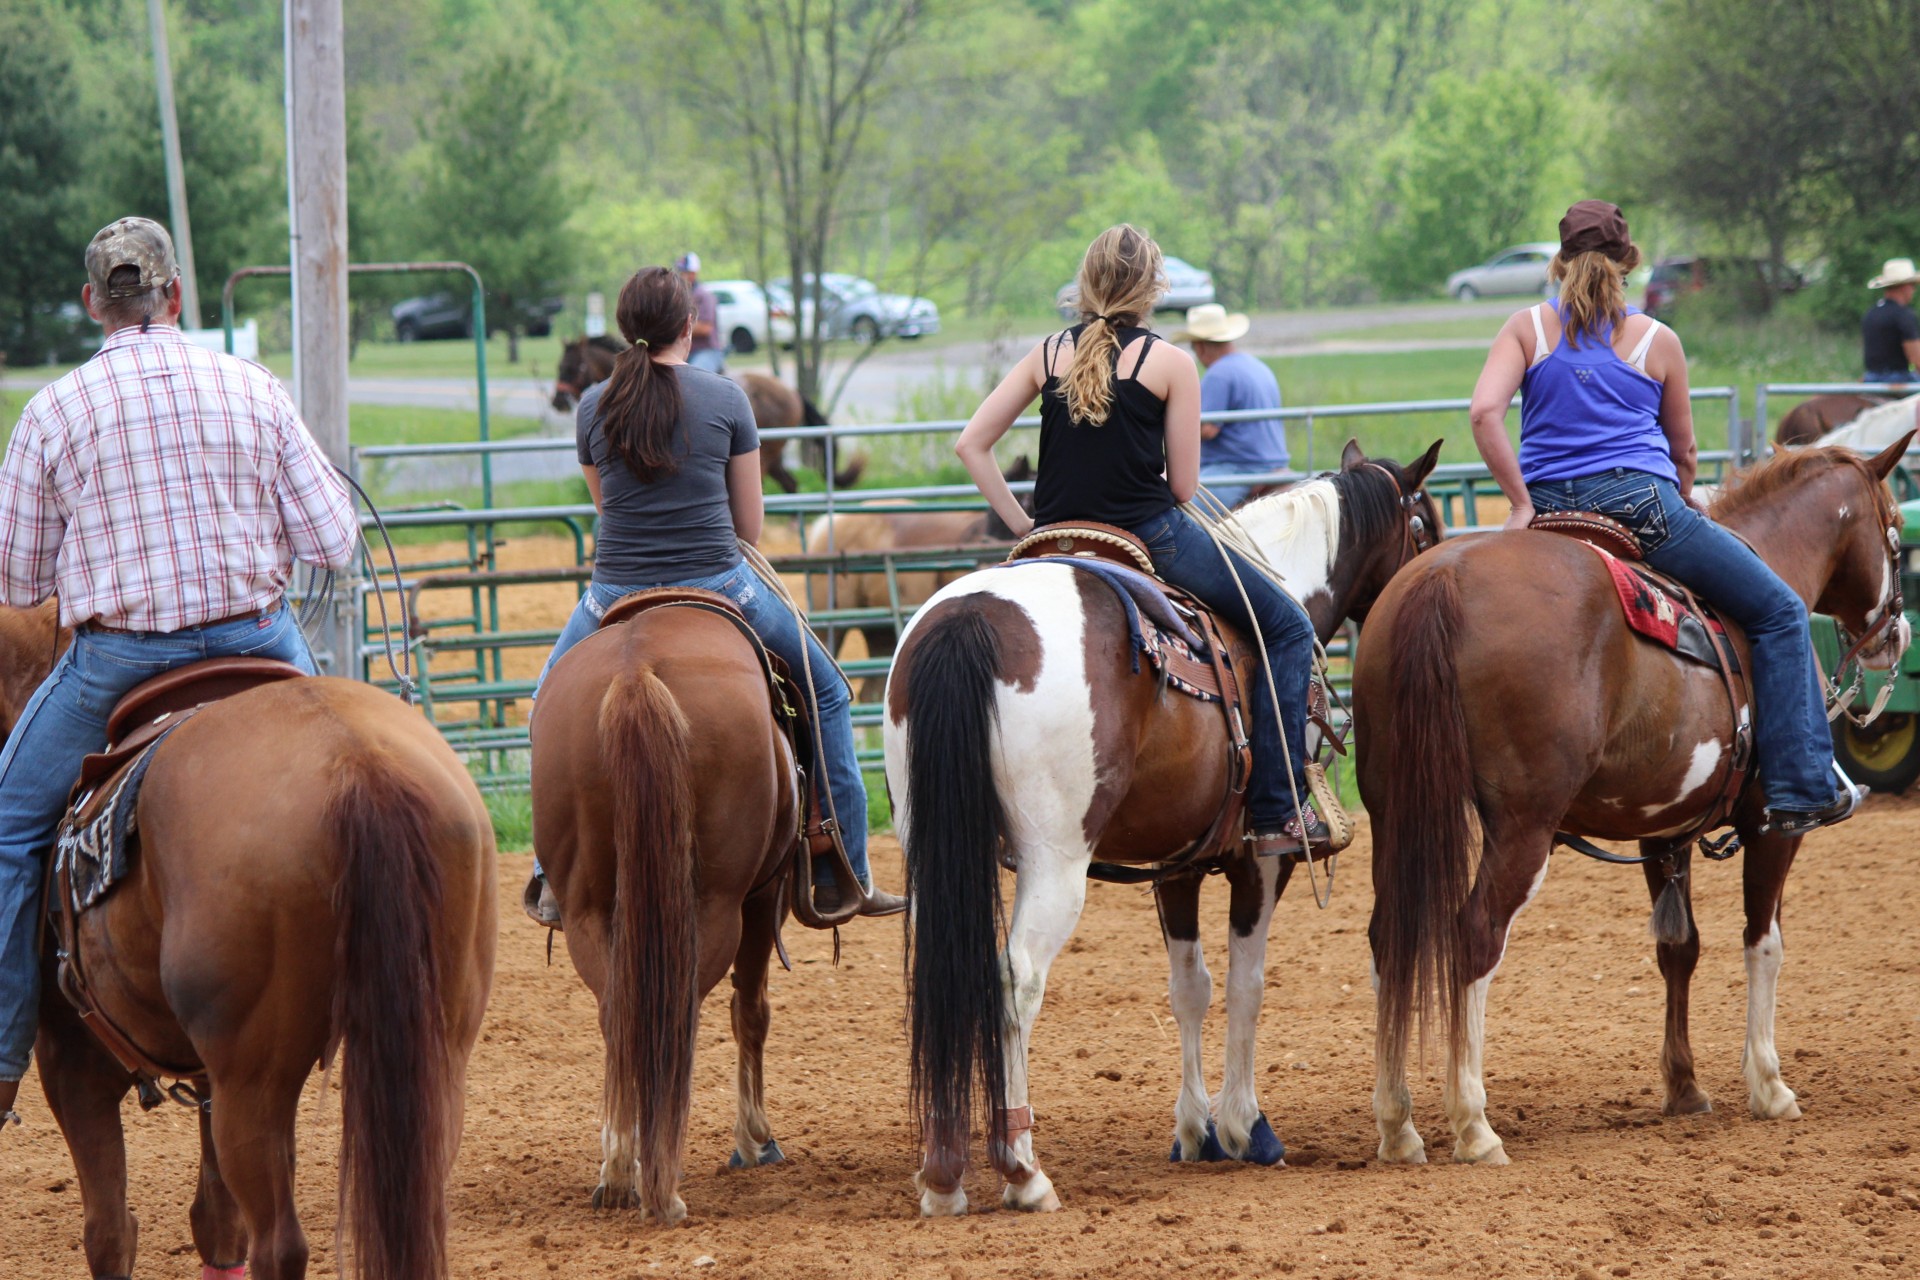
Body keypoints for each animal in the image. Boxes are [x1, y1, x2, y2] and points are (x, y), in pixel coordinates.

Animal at [34, 675, 499, 1274]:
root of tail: (357, 762)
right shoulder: (201, 1075)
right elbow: (214, 1219)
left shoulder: (73, 1063)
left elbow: (110, 1232)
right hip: (439, 1053)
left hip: (252, 1082)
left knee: (278, 1246)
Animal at [526, 594, 802, 1228]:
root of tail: (635, 671)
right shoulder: (763, 896)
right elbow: (752, 1009)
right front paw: (755, 1140)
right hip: (718, 904)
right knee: (679, 1012)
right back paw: (663, 1189)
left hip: (587, 907)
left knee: (619, 1013)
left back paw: (618, 1174)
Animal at [549, 335, 864, 495]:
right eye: (559, 366)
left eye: (571, 367)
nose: (558, 401)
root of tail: (791, 391)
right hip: (770, 455)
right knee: (790, 484)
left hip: (765, 454)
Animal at [883, 437, 1443, 1212]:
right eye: (1425, 525)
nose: (1427, 581)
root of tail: (973, 618)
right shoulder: (1264, 859)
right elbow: (1247, 983)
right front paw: (1245, 1129)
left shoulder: (1175, 860)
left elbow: (1191, 987)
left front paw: (1194, 1132)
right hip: (1054, 862)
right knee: (1014, 980)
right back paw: (1023, 1170)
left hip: (933, 846)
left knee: (945, 974)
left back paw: (942, 1176)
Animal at [1359, 441, 1912, 1174]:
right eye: (1896, 536)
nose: (1895, 635)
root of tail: (1439, 580)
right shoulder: (1772, 828)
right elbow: (1763, 944)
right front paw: (1769, 1086)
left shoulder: (1662, 829)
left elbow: (1679, 948)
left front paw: (1685, 1088)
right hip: (1522, 829)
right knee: (1474, 935)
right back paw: (1474, 1124)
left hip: (1394, 812)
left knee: (1389, 939)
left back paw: (1398, 1125)